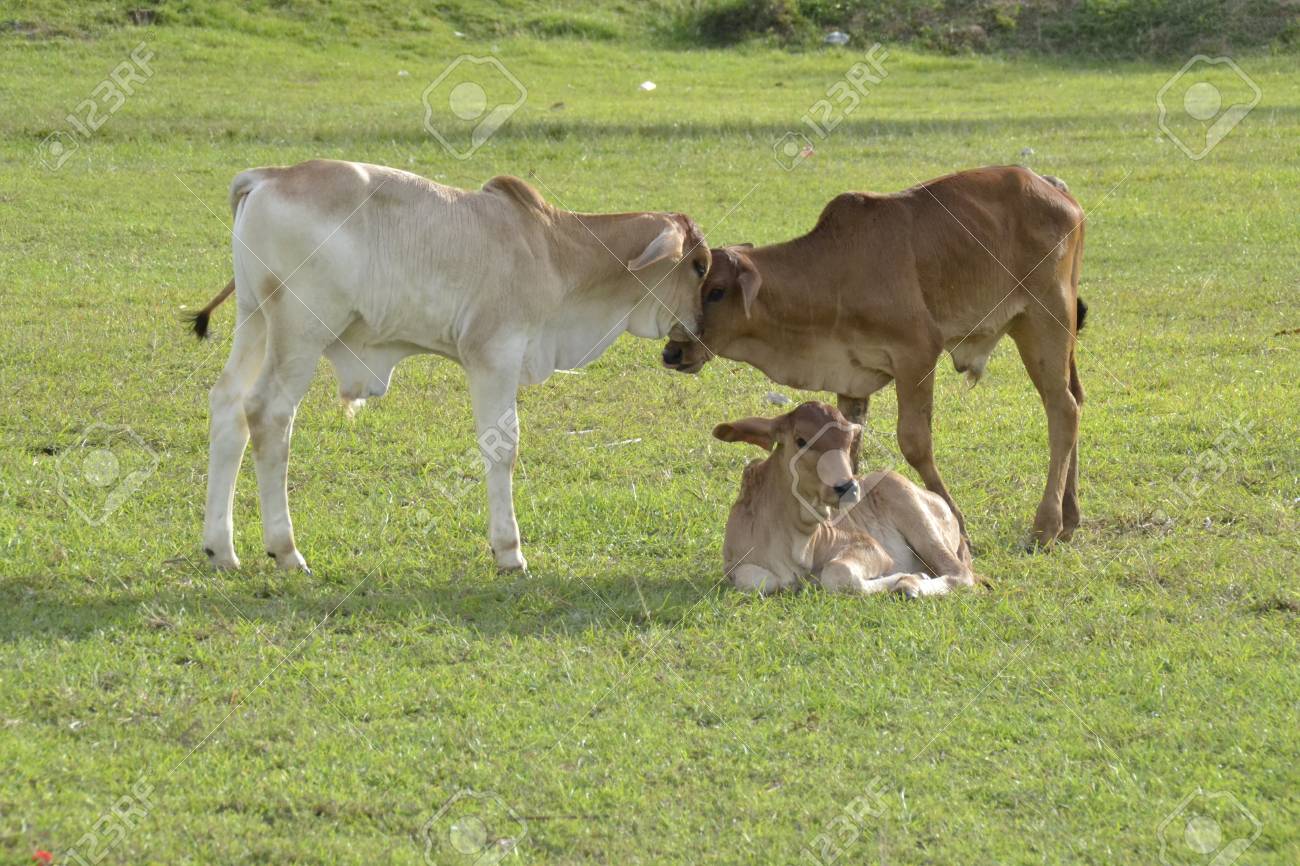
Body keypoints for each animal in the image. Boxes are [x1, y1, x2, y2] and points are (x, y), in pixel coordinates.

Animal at [189, 159, 710, 573]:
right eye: (701, 266)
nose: (696, 343)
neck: (554, 250)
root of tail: (269, 175)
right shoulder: (493, 356)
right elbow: (502, 448)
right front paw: (509, 552)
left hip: (255, 321)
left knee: (229, 407)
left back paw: (221, 549)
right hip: (299, 333)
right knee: (269, 415)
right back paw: (286, 550)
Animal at [662, 166, 1087, 548]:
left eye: (716, 291)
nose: (672, 350)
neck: (834, 270)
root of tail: (1052, 186)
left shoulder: (916, 354)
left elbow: (915, 442)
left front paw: (957, 525)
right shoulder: (850, 381)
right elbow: (848, 449)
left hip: (1043, 321)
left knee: (1063, 409)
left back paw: (1046, 525)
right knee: (1073, 402)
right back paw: (1069, 518)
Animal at [713, 402, 983, 597]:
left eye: (849, 443)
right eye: (801, 440)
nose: (847, 487)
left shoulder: (869, 546)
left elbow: (836, 573)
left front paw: (907, 578)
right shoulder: (733, 565)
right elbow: (758, 580)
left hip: (915, 514)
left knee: (959, 573)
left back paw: (911, 587)